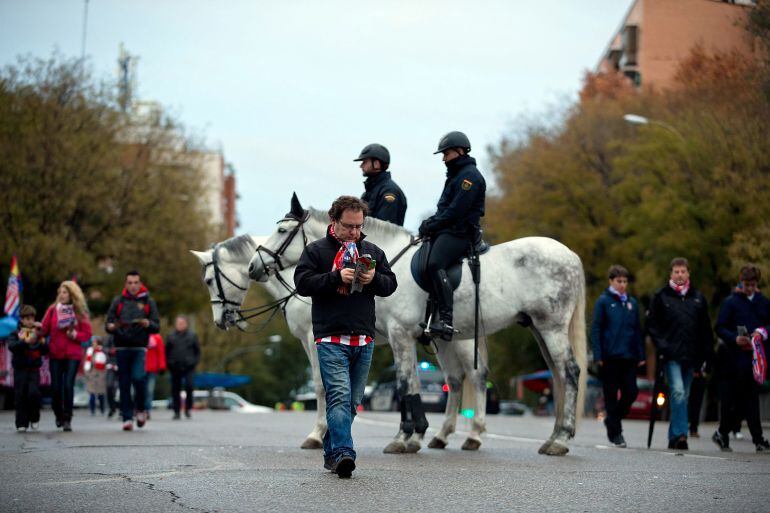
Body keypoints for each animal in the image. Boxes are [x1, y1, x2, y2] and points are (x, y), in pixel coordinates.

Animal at [249, 196, 584, 456]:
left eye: (281, 230)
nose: (254, 267)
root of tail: (570, 254)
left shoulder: (398, 334)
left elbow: (403, 383)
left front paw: (404, 437)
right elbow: (405, 384)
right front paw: (413, 435)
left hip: (550, 327)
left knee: (568, 372)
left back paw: (559, 439)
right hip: (529, 330)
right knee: (544, 376)